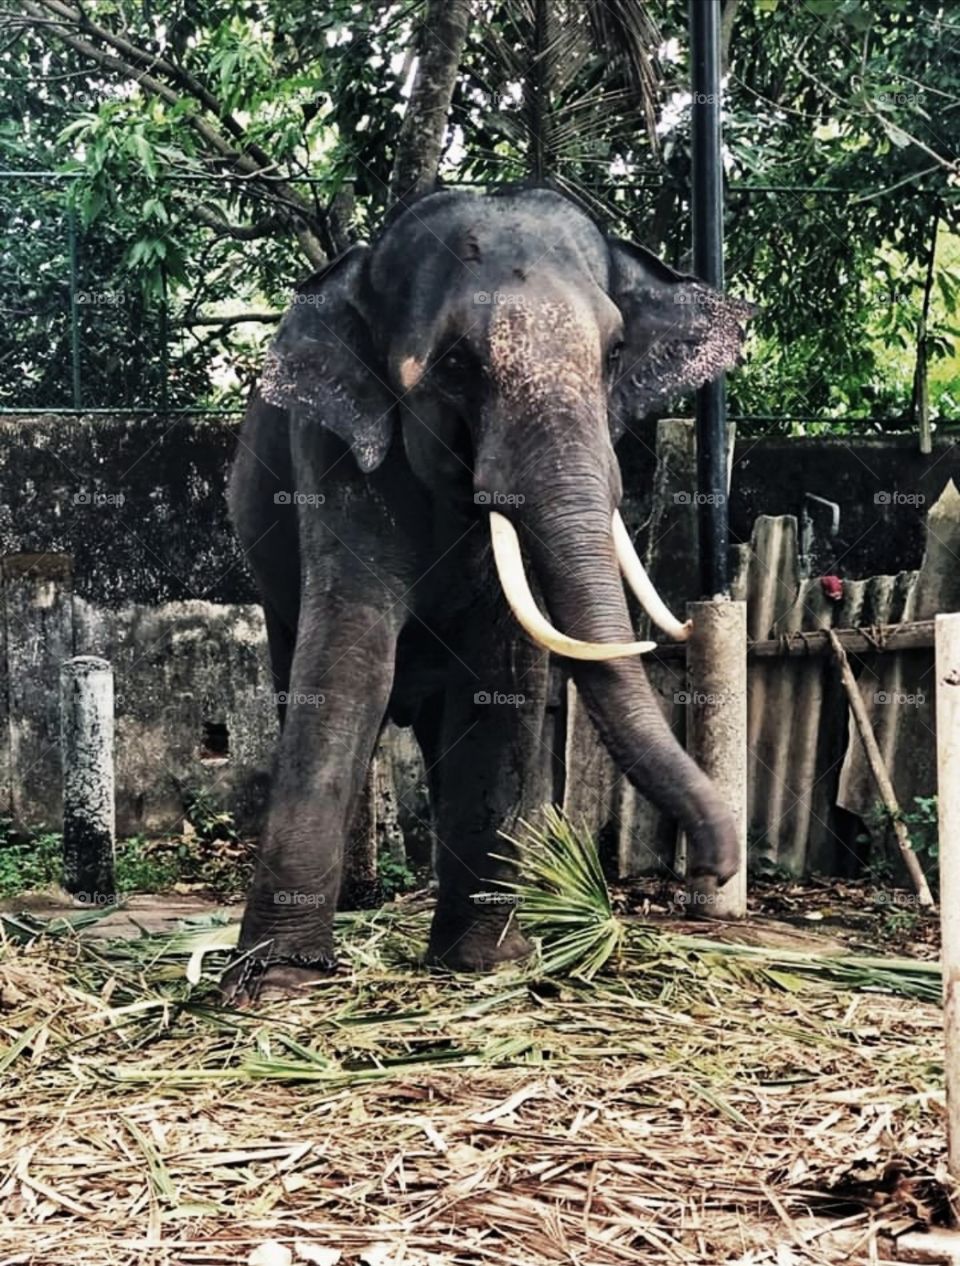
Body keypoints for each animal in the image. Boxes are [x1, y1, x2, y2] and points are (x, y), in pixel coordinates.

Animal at [225, 186, 753, 1001]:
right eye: (454, 363)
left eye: (614, 352)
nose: (712, 869)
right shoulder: (333, 458)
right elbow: (350, 658)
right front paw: (279, 985)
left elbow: (502, 677)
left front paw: (489, 964)